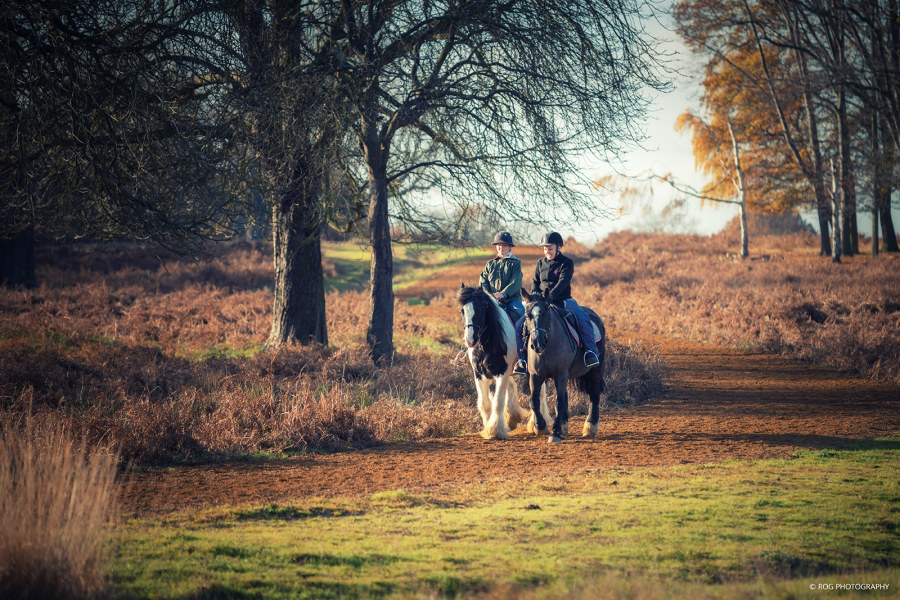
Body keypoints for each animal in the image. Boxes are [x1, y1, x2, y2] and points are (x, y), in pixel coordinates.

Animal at [460, 284, 532, 438]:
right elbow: (485, 403)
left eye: (479, 309)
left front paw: (495, 430)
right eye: (462, 310)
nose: (470, 340)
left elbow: (498, 401)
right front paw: (488, 428)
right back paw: (513, 417)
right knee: (512, 387)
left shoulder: (502, 372)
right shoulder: (479, 373)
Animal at [520, 288, 604, 442]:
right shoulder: (535, 375)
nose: (537, 343)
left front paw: (555, 432)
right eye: (527, 315)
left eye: (546, 313)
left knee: (594, 395)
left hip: (594, 370)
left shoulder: (561, 375)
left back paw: (590, 427)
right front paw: (540, 427)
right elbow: (534, 401)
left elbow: (559, 403)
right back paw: (565, 427)